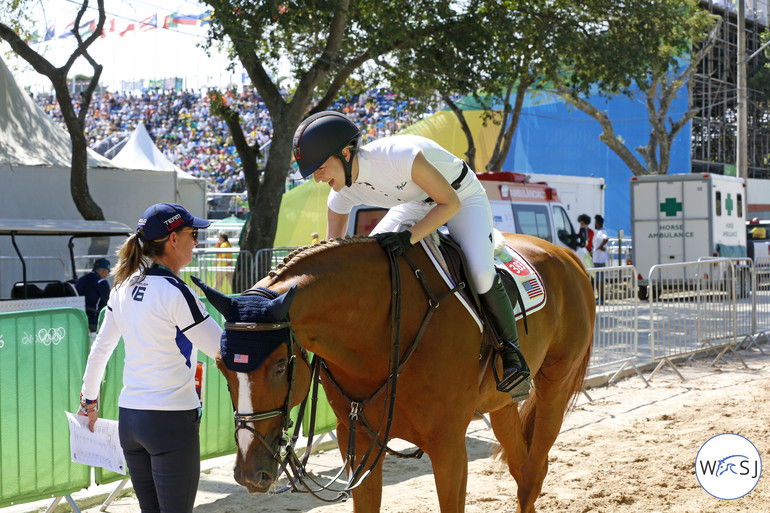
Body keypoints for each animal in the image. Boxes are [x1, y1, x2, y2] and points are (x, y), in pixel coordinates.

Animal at [201, 233, 592, 512]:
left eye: (281, 366)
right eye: (221, 365)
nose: (249, 473)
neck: (384, 326)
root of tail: (566, 255)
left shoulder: (449, 446)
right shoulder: (356, 440)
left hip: (554, 386)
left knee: (533, 472)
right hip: (501, 403)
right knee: (521, 466)